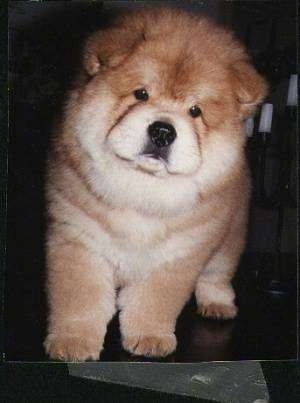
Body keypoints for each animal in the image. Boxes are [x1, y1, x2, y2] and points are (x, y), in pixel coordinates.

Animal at [43, 6, 266, 362]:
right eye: (141, 94)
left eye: (195, 111)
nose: (163, 131)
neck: (142, 190)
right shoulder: (78, 238)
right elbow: (80, 298)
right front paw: (73, 343)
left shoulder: (180, 252)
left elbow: (152, 300)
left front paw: (148, 338)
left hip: (229, 239)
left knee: (217, 275)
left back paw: (218, 305)